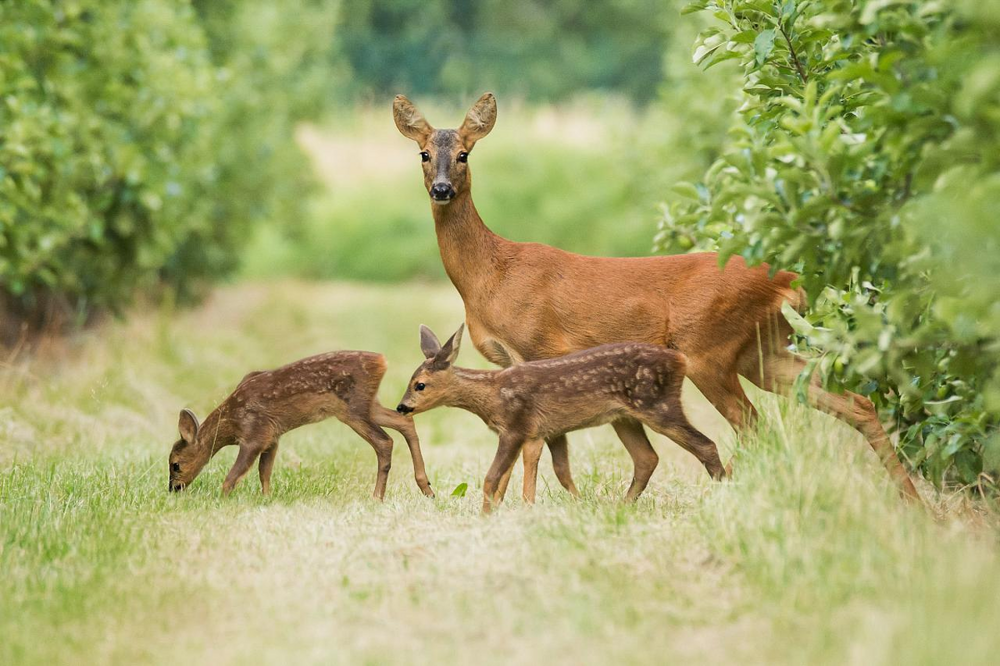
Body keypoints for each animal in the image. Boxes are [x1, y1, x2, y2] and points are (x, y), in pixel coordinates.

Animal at [168, 348, 434, 498]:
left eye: (175, 465)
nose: (173, 489)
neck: (231, 420)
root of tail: (381, 361)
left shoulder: (255, 434)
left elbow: (235, 474)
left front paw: (222, 498)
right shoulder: (273, 437)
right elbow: (264, 471)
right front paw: (266, 499)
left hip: (353, 408)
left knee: (384, 441)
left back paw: (377, 496)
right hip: (368, 405)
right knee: (404, 421)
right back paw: (426, 488)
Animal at [394, 324, 724, 510]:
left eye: (419, 384)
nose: (401, 407)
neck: (492, 394)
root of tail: (681, 360)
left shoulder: (516, 426)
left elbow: (491, 477)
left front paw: (488, 515)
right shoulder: (539, 432)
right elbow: (541, 472)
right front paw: (525, 508)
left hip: (657, 404)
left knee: (705, 444)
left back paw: (725, 491)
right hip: (624, 417)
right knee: (647, 458)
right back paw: (621, 505)